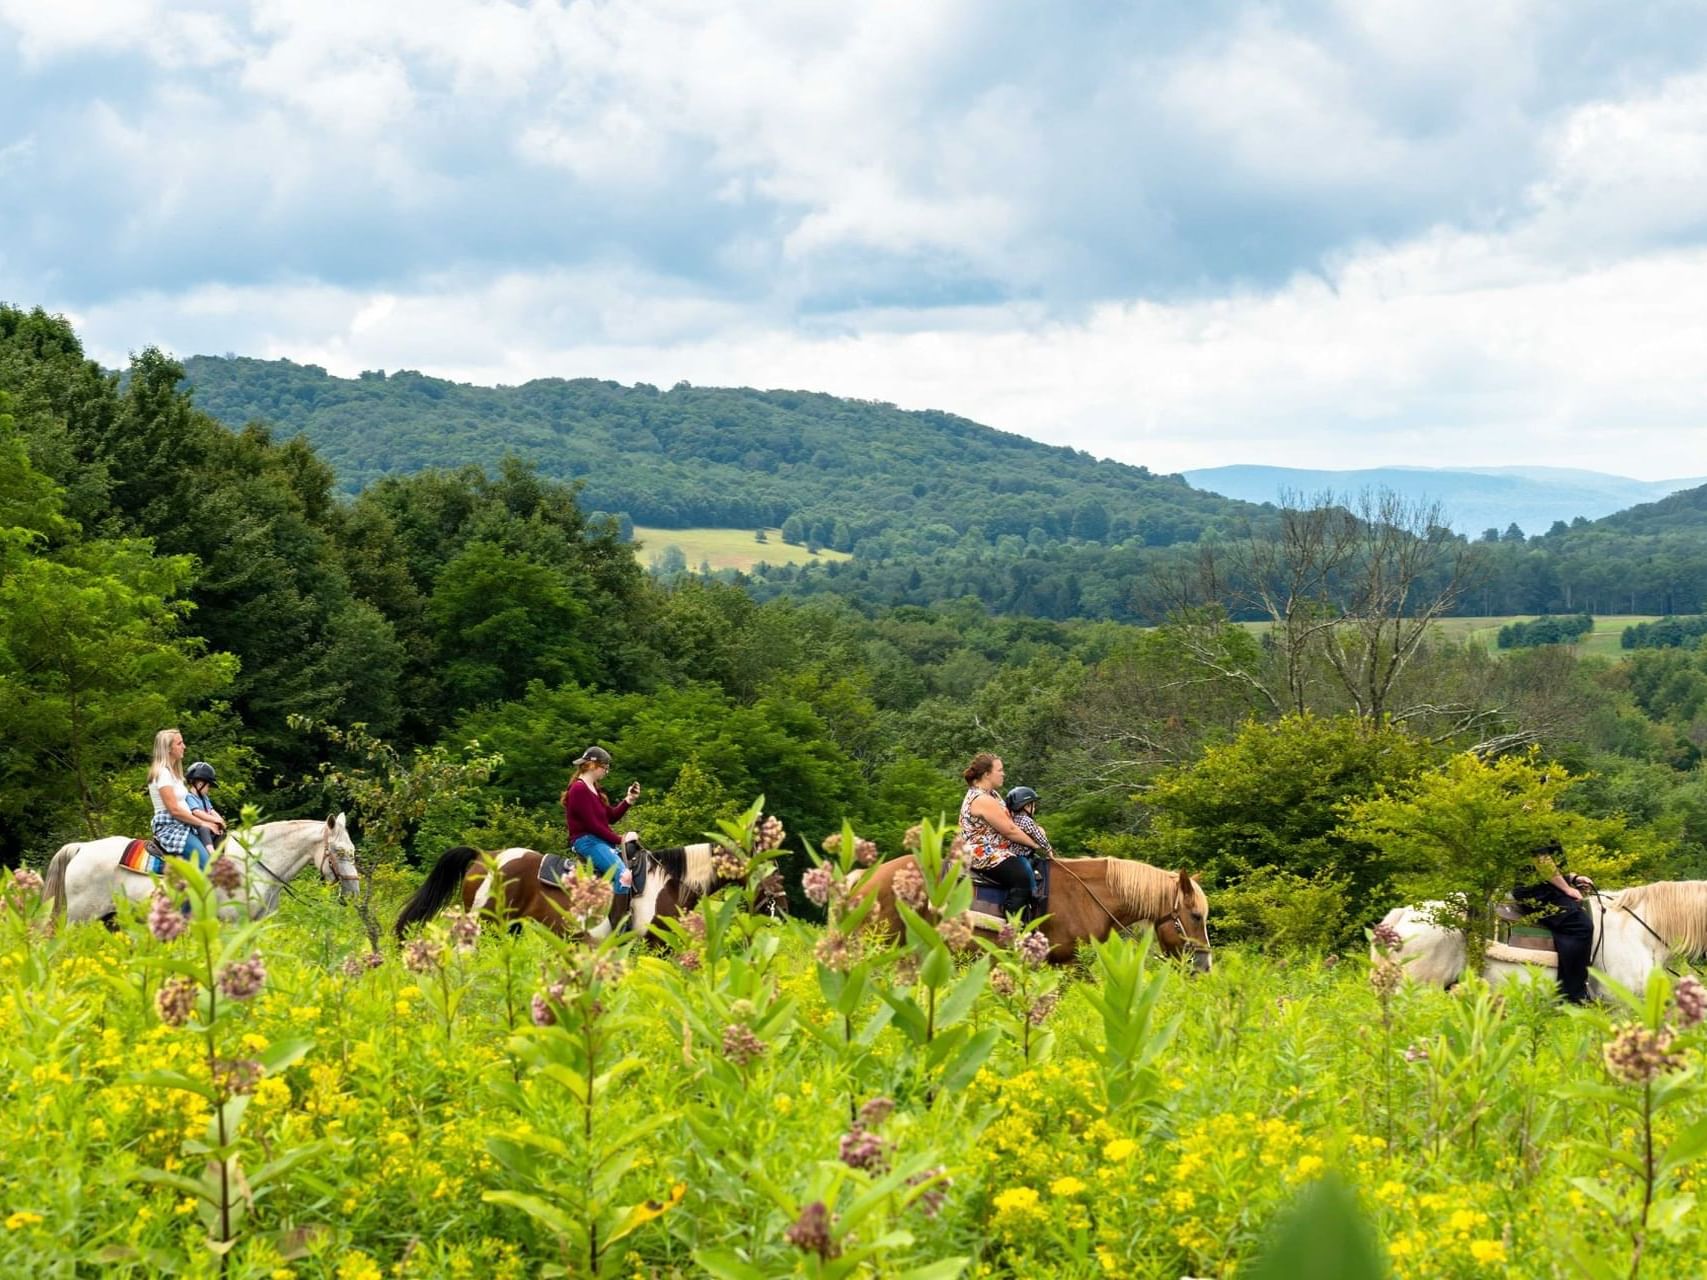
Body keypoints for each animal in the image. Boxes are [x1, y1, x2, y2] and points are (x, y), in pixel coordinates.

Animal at [42, 815, 360, 928]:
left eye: (353, 850)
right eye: (339, 852)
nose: (353, 893)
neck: (254, 866)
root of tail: (81, 848)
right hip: (80, 918)